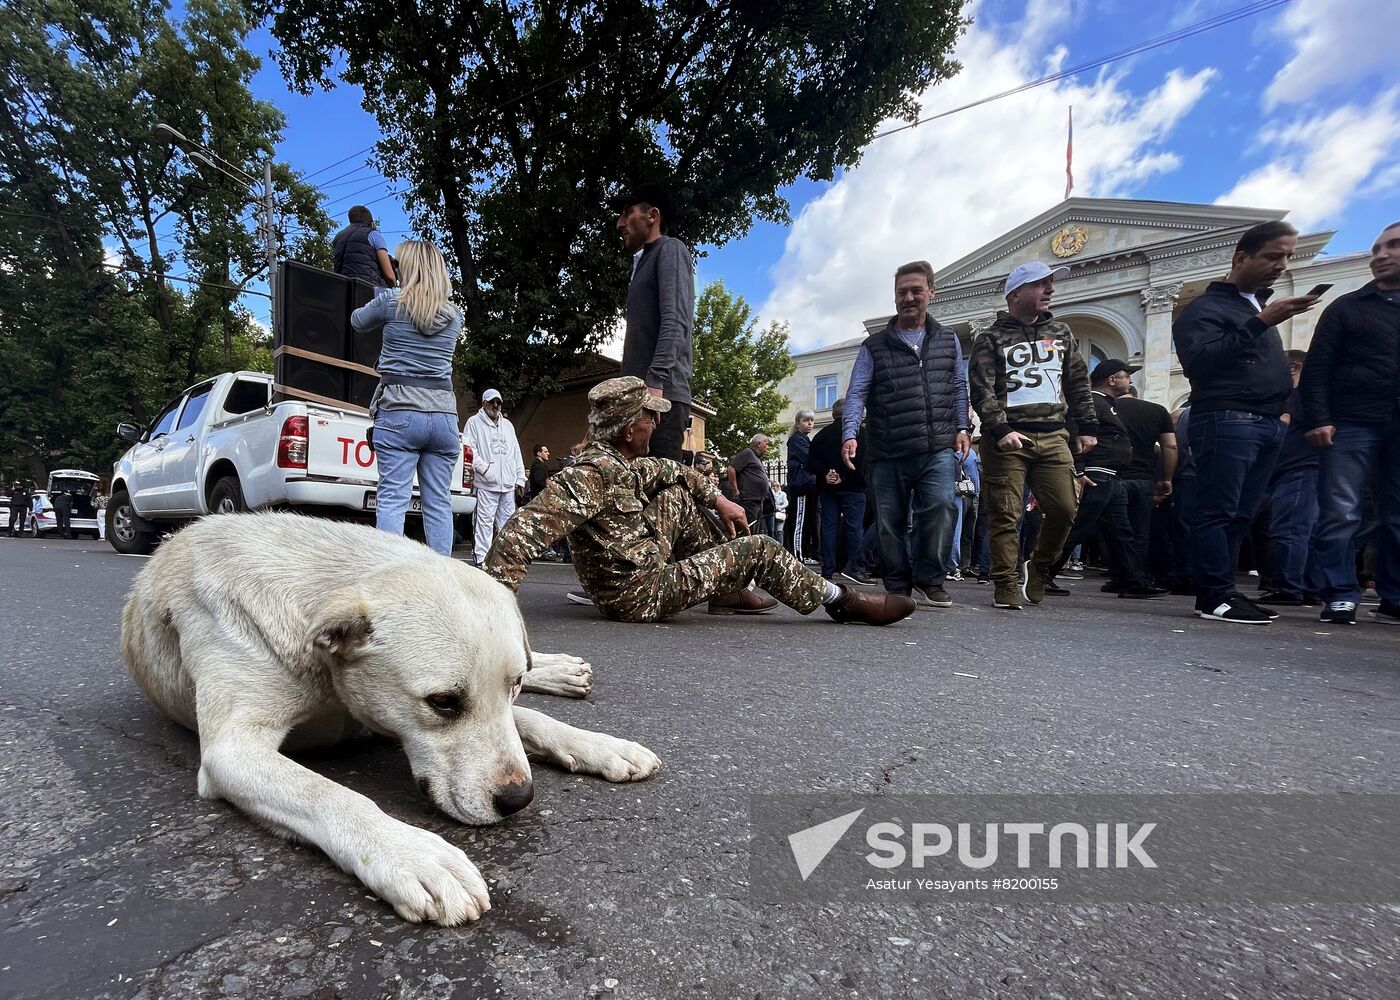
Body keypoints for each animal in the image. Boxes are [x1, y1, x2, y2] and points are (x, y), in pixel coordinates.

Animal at [121, 509, 660, 924]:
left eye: (513, 685)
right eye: (442, 702)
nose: (518, 800)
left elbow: (529, 720)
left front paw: (601, 745)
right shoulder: (233, 751)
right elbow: (333, 796)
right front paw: (413, 855)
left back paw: (561, 670)